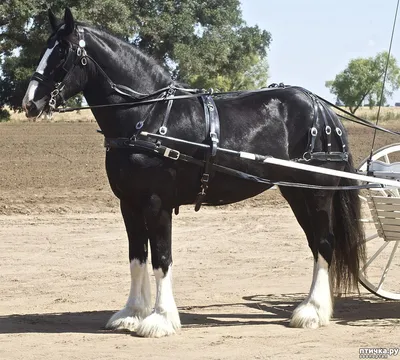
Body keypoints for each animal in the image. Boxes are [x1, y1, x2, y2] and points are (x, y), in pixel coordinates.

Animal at [22, 8, 366, 338]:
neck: (147, 115)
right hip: (295, 191)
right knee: (315, 243)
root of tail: (322, 109)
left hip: (317, 192)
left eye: (62, 52)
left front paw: (160, 320)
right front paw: (132, 313)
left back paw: (314, 312)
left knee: (324, 243)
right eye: (45, 48)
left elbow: (161, 259)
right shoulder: (129, 204)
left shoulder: (156, 203)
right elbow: (137, 257)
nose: (29, 104)